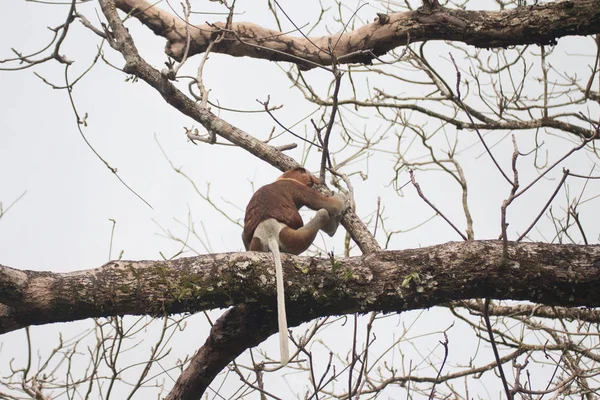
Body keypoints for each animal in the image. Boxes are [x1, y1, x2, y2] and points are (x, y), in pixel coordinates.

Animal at [243, 167, 350, 364]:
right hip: (294, 238)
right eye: (305, 173)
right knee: (323, 212)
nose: (313, 179)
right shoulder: (296, 187)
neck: (279, 180)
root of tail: (271, 233)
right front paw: (343, 197)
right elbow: (329, 205)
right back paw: (332, 227)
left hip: (256, 244)